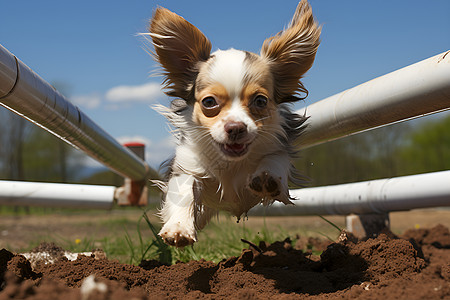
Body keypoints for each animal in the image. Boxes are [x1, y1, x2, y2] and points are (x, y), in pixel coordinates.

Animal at [147, 0, 320, 247]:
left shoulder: (280, 147)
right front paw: (178, 228)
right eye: (209, 102)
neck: (231, 163)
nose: (236, 128)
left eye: (260, 101)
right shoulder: (187, 167)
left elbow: (275, 160)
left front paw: (267, 179)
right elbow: (185, 192)